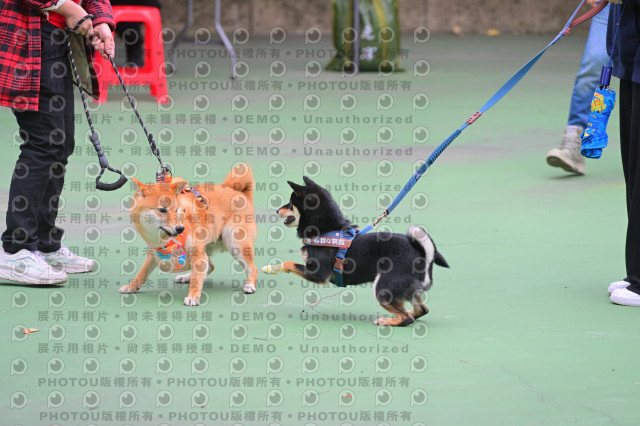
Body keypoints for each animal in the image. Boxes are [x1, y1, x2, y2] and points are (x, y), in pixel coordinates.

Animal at [119, 163, 259, 305]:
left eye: (176, 210)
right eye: (162, 210)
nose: (180, 228)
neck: (163, 239)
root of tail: (237, 192)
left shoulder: (196, 251)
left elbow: (197, 278)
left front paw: (193, 296)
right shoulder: (154, 251)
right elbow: (142, 273)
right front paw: (131, 287)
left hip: (233, 241)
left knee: (252, 268)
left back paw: (249, 285)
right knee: (209, 266)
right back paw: (186, 277)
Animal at [263, 176, 449, 326]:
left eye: (290, 204)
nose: (276, 210)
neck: (326, 229)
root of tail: (423, 256)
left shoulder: (318, 274)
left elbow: (289, 263)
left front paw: (273, 268)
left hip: (383, 287)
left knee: (407, 318)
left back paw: (387, 321)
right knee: (421, 309)